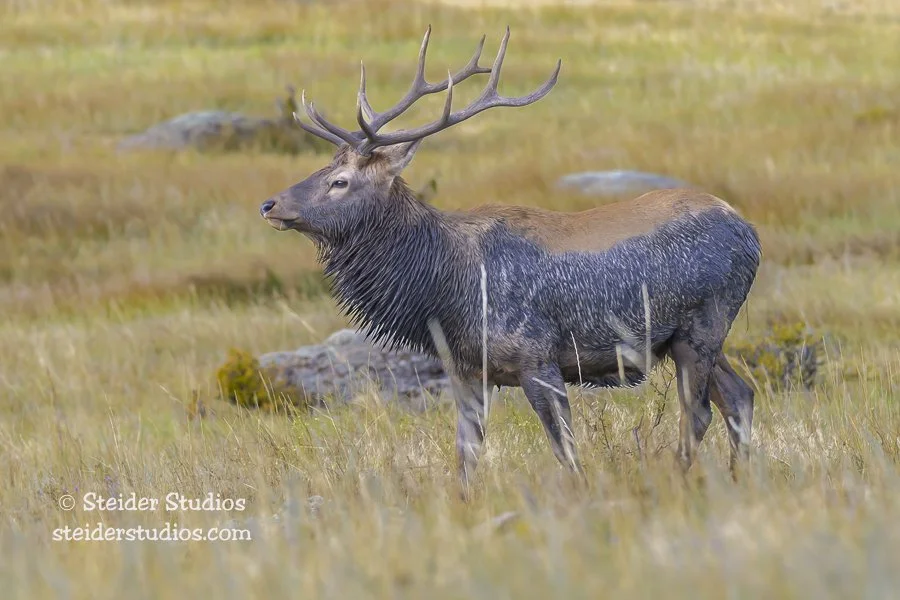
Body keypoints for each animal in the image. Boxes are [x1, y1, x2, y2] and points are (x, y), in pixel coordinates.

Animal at [259, 26, 762, 494]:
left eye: (340, 181)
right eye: (323, 169)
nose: (269, 204)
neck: (445, 292)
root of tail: (749, 231)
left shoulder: (537, 358)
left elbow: (566, 451)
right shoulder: (467, 371)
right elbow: (465, 457)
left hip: (704, 323)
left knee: (698, 411)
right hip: (690, 338)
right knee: (740, 394)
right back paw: (739, 478)